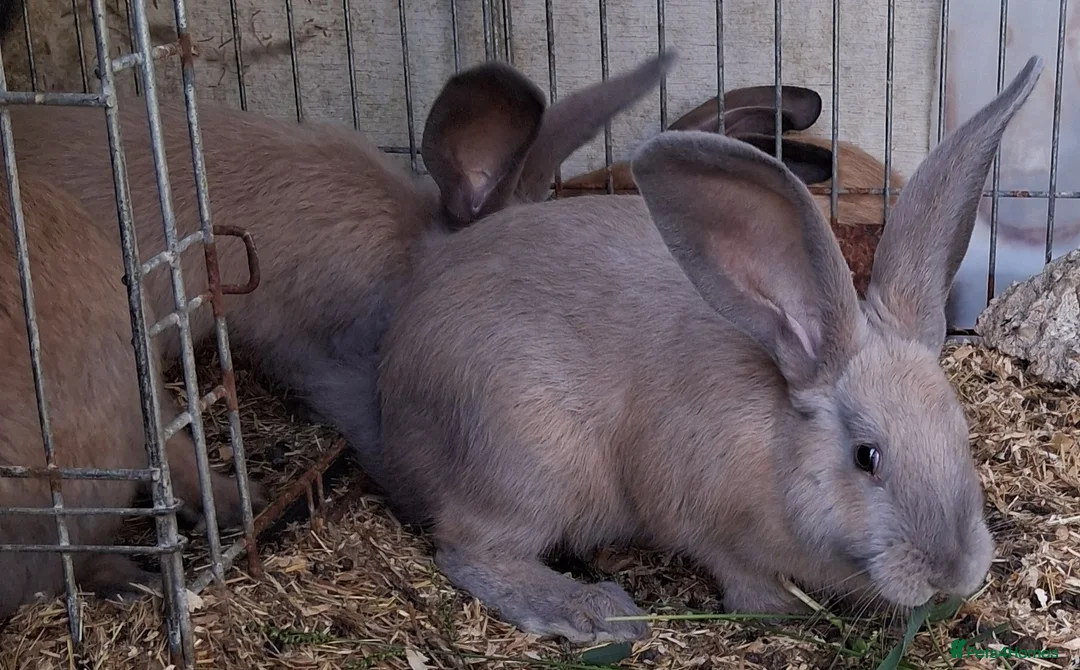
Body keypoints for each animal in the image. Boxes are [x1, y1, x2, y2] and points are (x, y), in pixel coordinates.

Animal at [374, 56, 1044, 644]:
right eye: (866, 457)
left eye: (961, 434)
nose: (952, 573)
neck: (777, 444)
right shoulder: (710, 525)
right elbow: (739, 574)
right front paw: (778, 609)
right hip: (528, 466)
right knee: (468, 549)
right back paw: (594, 611)